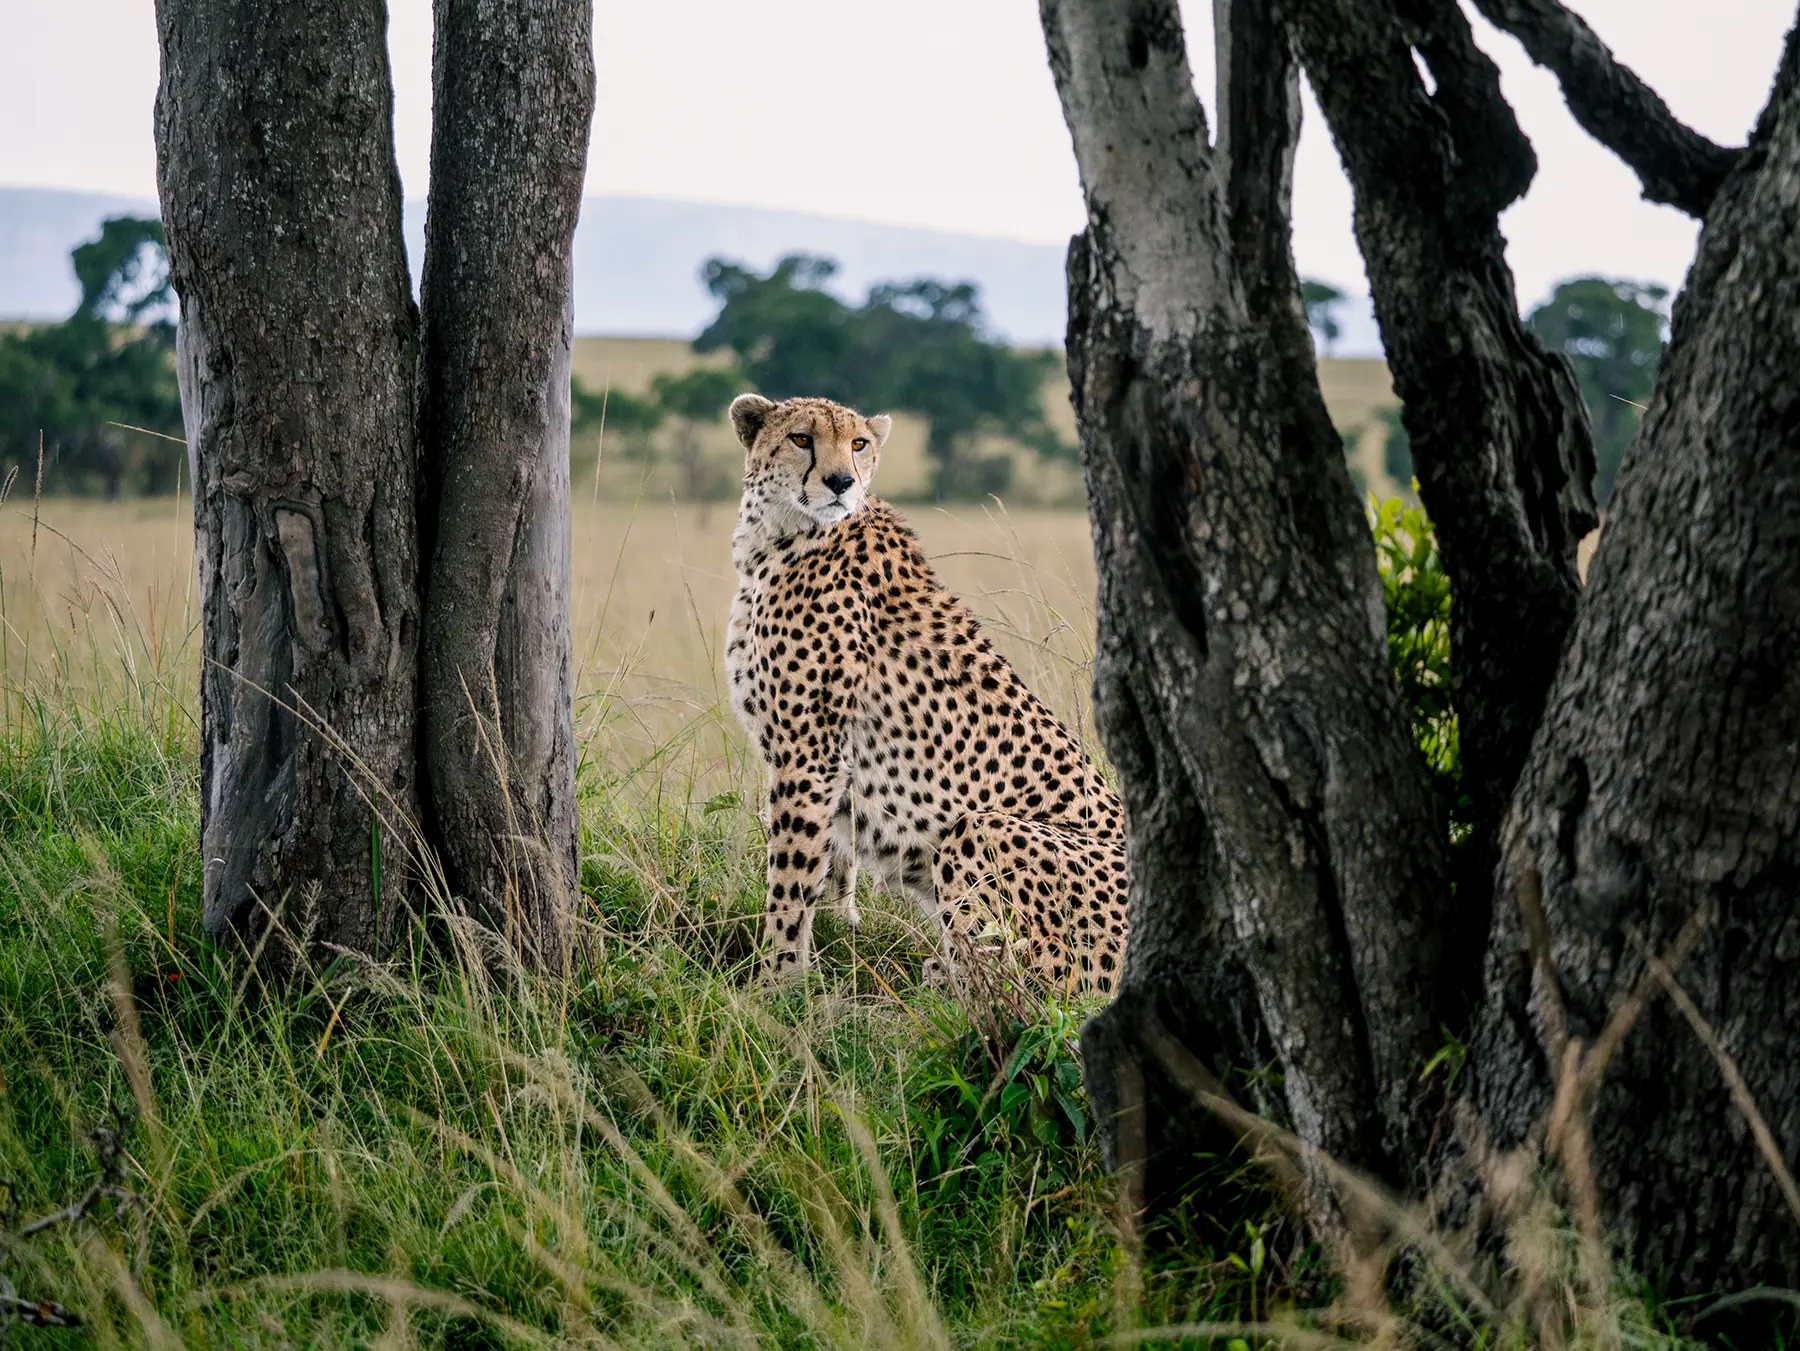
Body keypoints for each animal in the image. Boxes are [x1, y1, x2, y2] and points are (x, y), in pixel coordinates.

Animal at [723, 392, 1129, 994]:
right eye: (801, 439)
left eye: (858, 443)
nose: (842, 481)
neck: (780, 535)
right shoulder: (827, 764)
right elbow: (831, 863)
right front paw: (836, 936)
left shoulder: (808, 752)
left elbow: (790, 876)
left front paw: (778, 979)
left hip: (980, 829)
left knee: (1028, 982)